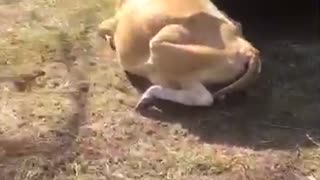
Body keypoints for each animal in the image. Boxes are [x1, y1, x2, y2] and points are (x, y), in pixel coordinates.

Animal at [99, 0, 262, 110]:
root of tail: (248, 49)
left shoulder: (111, 22)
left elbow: (101, 29)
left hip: (164, 50)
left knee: (203, 97)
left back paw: (148, 96)